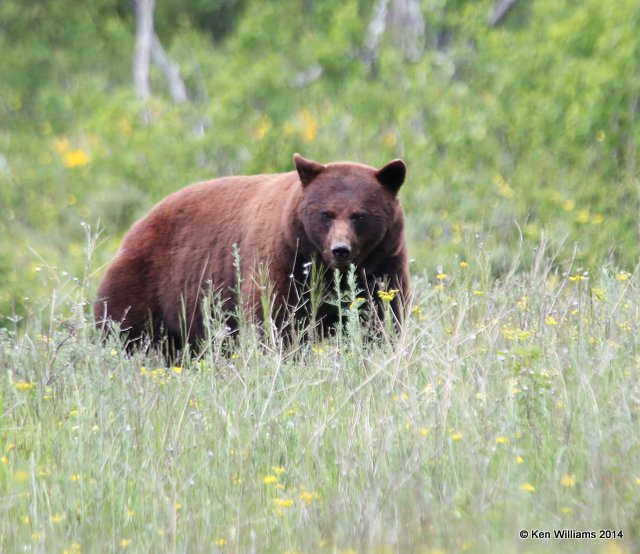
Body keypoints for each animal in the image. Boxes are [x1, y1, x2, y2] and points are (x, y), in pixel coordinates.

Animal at [94, 152, 410, 350]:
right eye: (326, 214)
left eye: (360, 215)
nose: (340, 250)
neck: (327, 271)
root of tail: (136, 226)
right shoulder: (284, 261)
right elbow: (274, 319)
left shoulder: (385, 265)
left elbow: (384, 316)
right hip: (145, 284)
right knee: (123, 328)